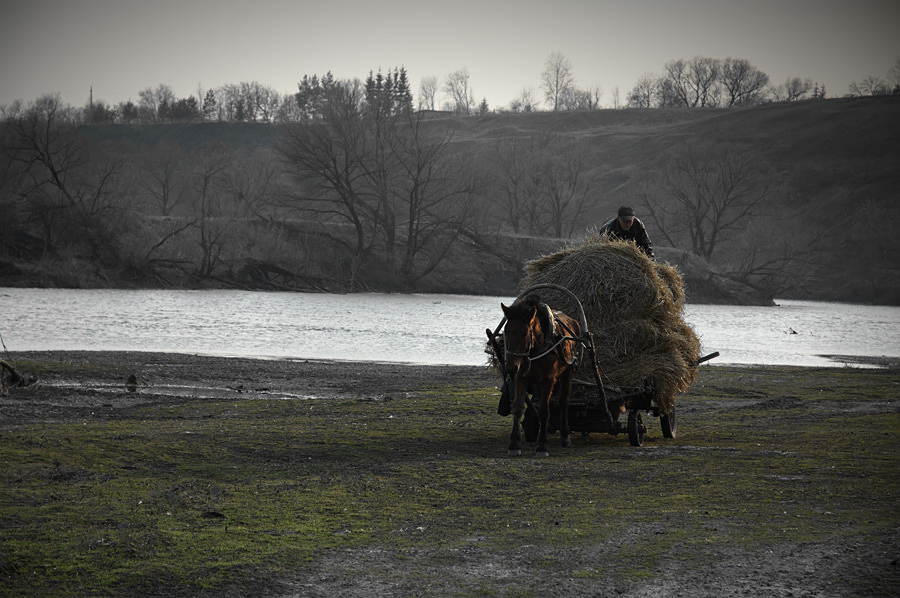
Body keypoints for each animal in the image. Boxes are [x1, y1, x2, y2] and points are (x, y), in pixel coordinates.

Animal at [500, 296, 584, 460]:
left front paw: (542, 446)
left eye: (525, 333)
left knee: (564, 402)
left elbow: (545, 411)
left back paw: (565, 436)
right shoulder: (520, 377)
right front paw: (514, 444)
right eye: (506, 331)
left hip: (567, 373)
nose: (510, 368)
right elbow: (518, 407)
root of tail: (573, 321)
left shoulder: (548, 380)